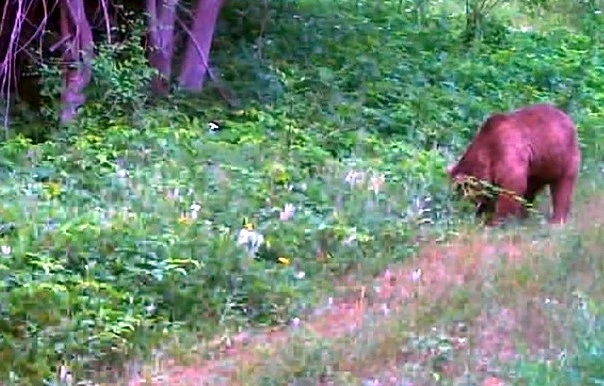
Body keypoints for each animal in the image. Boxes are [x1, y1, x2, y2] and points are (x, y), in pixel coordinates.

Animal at [448, 103, 580, 226]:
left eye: (461, 193)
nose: (458, 209)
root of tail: (566, 117)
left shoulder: (508, 150)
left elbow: (512, 186)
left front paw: (495, 221)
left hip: (564, 156)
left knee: (562, 187)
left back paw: (556, 221)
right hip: (538, 167)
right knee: (531, 190)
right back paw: (523, 216)